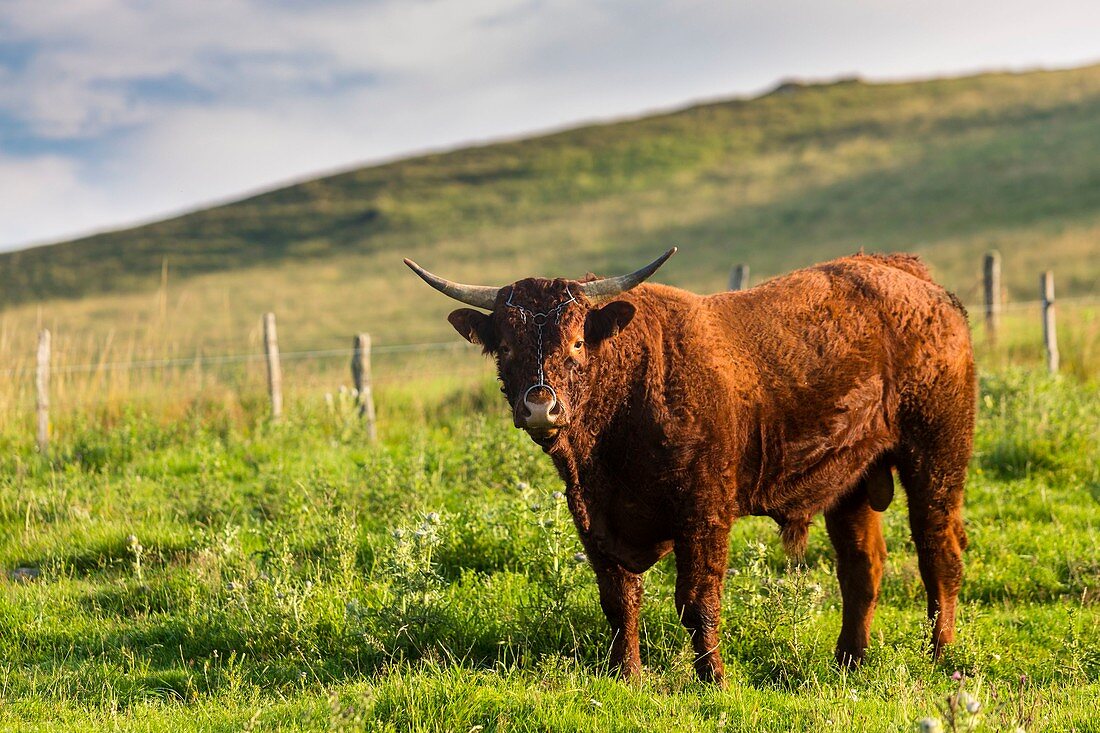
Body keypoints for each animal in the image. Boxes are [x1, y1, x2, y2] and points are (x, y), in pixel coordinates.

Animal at [409, 248, 976, 682]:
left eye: (576, 341)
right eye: (505, 346)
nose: (539, 407)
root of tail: (914, 279)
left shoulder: (704, 514)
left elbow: (696, 599)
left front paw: (714, 680)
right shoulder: (592, 521)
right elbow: (619, 600)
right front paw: (626, 677)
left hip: (937, 456)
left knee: (938, 552)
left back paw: (939, 657)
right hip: (850, 483)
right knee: (862, 568)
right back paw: (848, 664)